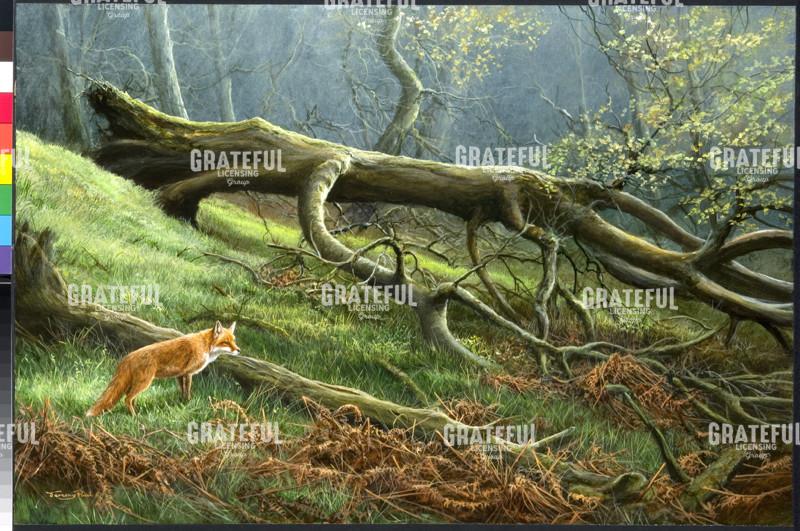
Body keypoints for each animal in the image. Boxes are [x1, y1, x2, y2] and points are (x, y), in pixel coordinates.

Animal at [86, 321, 240, 417]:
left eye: (234, 340)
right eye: (226, 342)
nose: (238, 350)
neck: (205, 344)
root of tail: (128, 357)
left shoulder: (180, 374)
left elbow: (182, 391)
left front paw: (182, 403)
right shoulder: (188, 373)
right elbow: (188, 391)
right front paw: (188, 403)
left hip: (137, 383)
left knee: (130, 398)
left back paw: (136, 411)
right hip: (144, 383)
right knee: (127, 398)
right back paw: (134, 416)